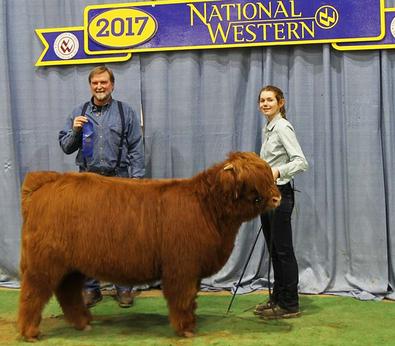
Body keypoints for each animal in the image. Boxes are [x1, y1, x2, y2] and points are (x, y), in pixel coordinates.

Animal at [17, 152, 282, 340]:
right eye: (252, 182)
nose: (277, 198)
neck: (207, 207)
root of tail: (45, 182)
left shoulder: (192, 268)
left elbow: (191, 298)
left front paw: (191, 322)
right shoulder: (181, 267)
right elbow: (182, 297)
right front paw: (186, 328)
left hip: (70, 266)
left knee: (67, 292)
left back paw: (83, 323)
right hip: (43, 262)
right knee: (33, 293)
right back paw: (30, 332)